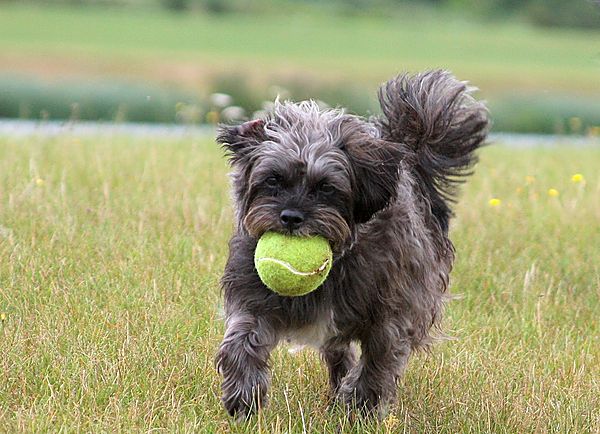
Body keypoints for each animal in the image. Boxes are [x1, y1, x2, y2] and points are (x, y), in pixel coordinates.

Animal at [214, 69, 488, 418]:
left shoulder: (393, 314)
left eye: (326, 187)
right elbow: (242, 339)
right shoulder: (253, 296)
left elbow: (379, 361)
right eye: (273, 179)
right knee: (338, 352)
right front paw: (244, 396)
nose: (290, 217)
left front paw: (361, 407)